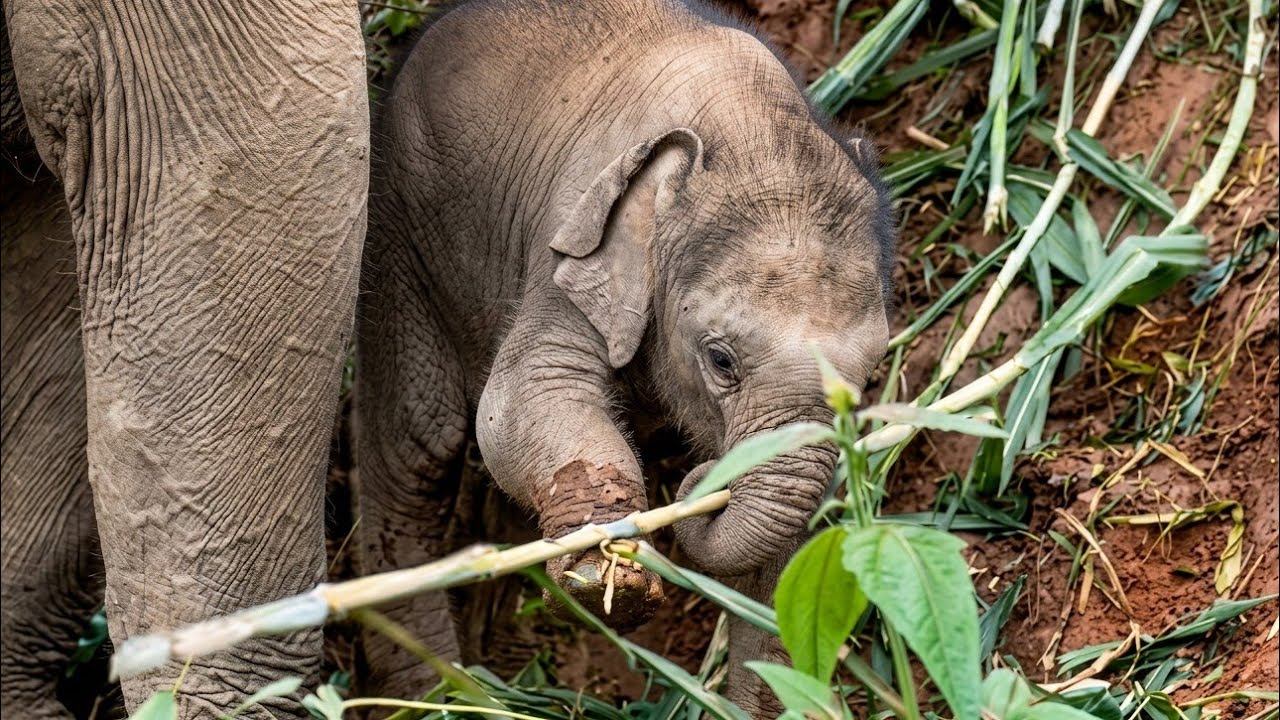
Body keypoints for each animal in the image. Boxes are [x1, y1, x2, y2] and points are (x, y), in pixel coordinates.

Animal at [354, 0, 895, 714]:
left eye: (866, 380)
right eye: (721, 361)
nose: (704, 479)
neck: (744, 127)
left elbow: (786, 561)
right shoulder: (571, 244)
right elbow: (521, 399)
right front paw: (610, 577)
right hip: (398, 226)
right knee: (419, 443)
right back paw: (437, 693)